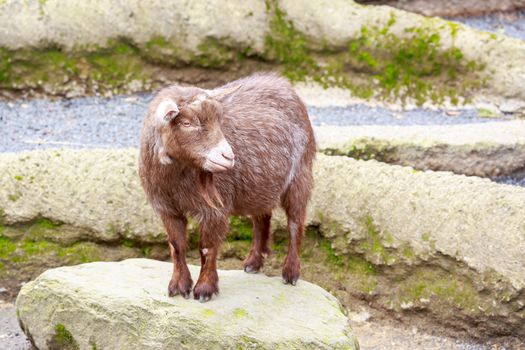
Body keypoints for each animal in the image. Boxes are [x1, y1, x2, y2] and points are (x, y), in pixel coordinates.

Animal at [137, 73, 316, 300]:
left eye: (219, 120)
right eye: (186, 123)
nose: (228, 156)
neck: (175, 179)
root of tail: (281, 82)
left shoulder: (214, 209)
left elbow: (207, 248)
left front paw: (204, 289)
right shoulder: (167, 209)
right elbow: (176, 246)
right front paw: (178, 286)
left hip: (300, 174)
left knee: (295, 222)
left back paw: (290, 272)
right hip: (260, 183)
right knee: (262, 218)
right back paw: (253, 262)